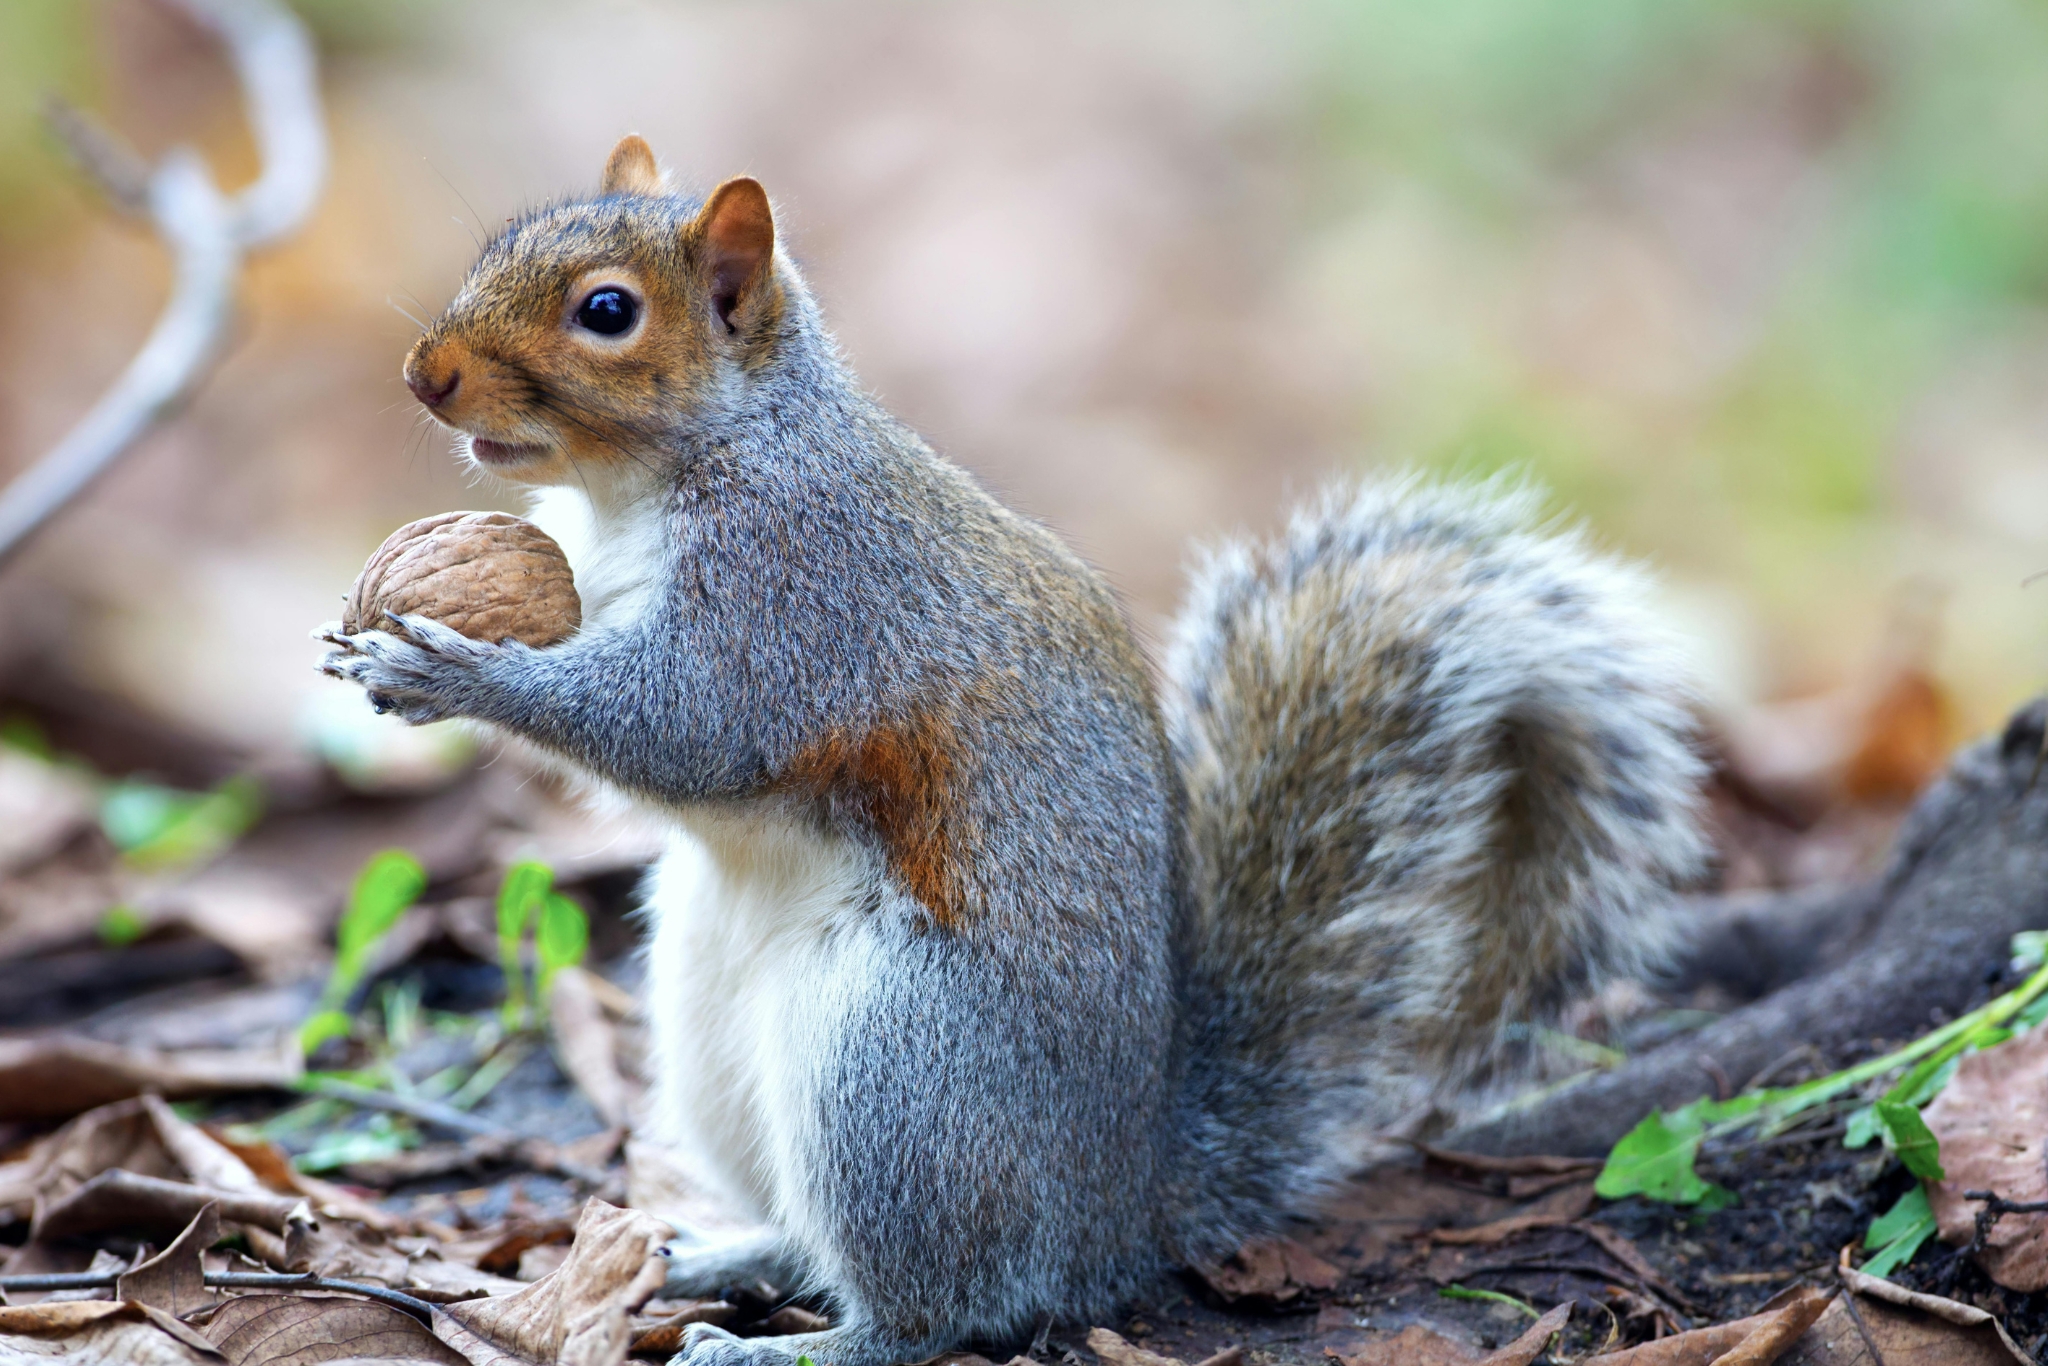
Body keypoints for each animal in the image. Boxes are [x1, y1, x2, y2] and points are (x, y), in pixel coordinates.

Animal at [322, 135, 1708, 1366]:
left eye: (606, 312)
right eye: (494, 246)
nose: (423, 375)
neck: (669, 474)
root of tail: (1119, 1211)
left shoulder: (797, 593)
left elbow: (686, 726)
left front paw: (448, 669)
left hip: (895, 1072)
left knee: (941, 1305)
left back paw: (797, 1345)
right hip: (706, 1024)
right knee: (808, 1228)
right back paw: (721, 1254)